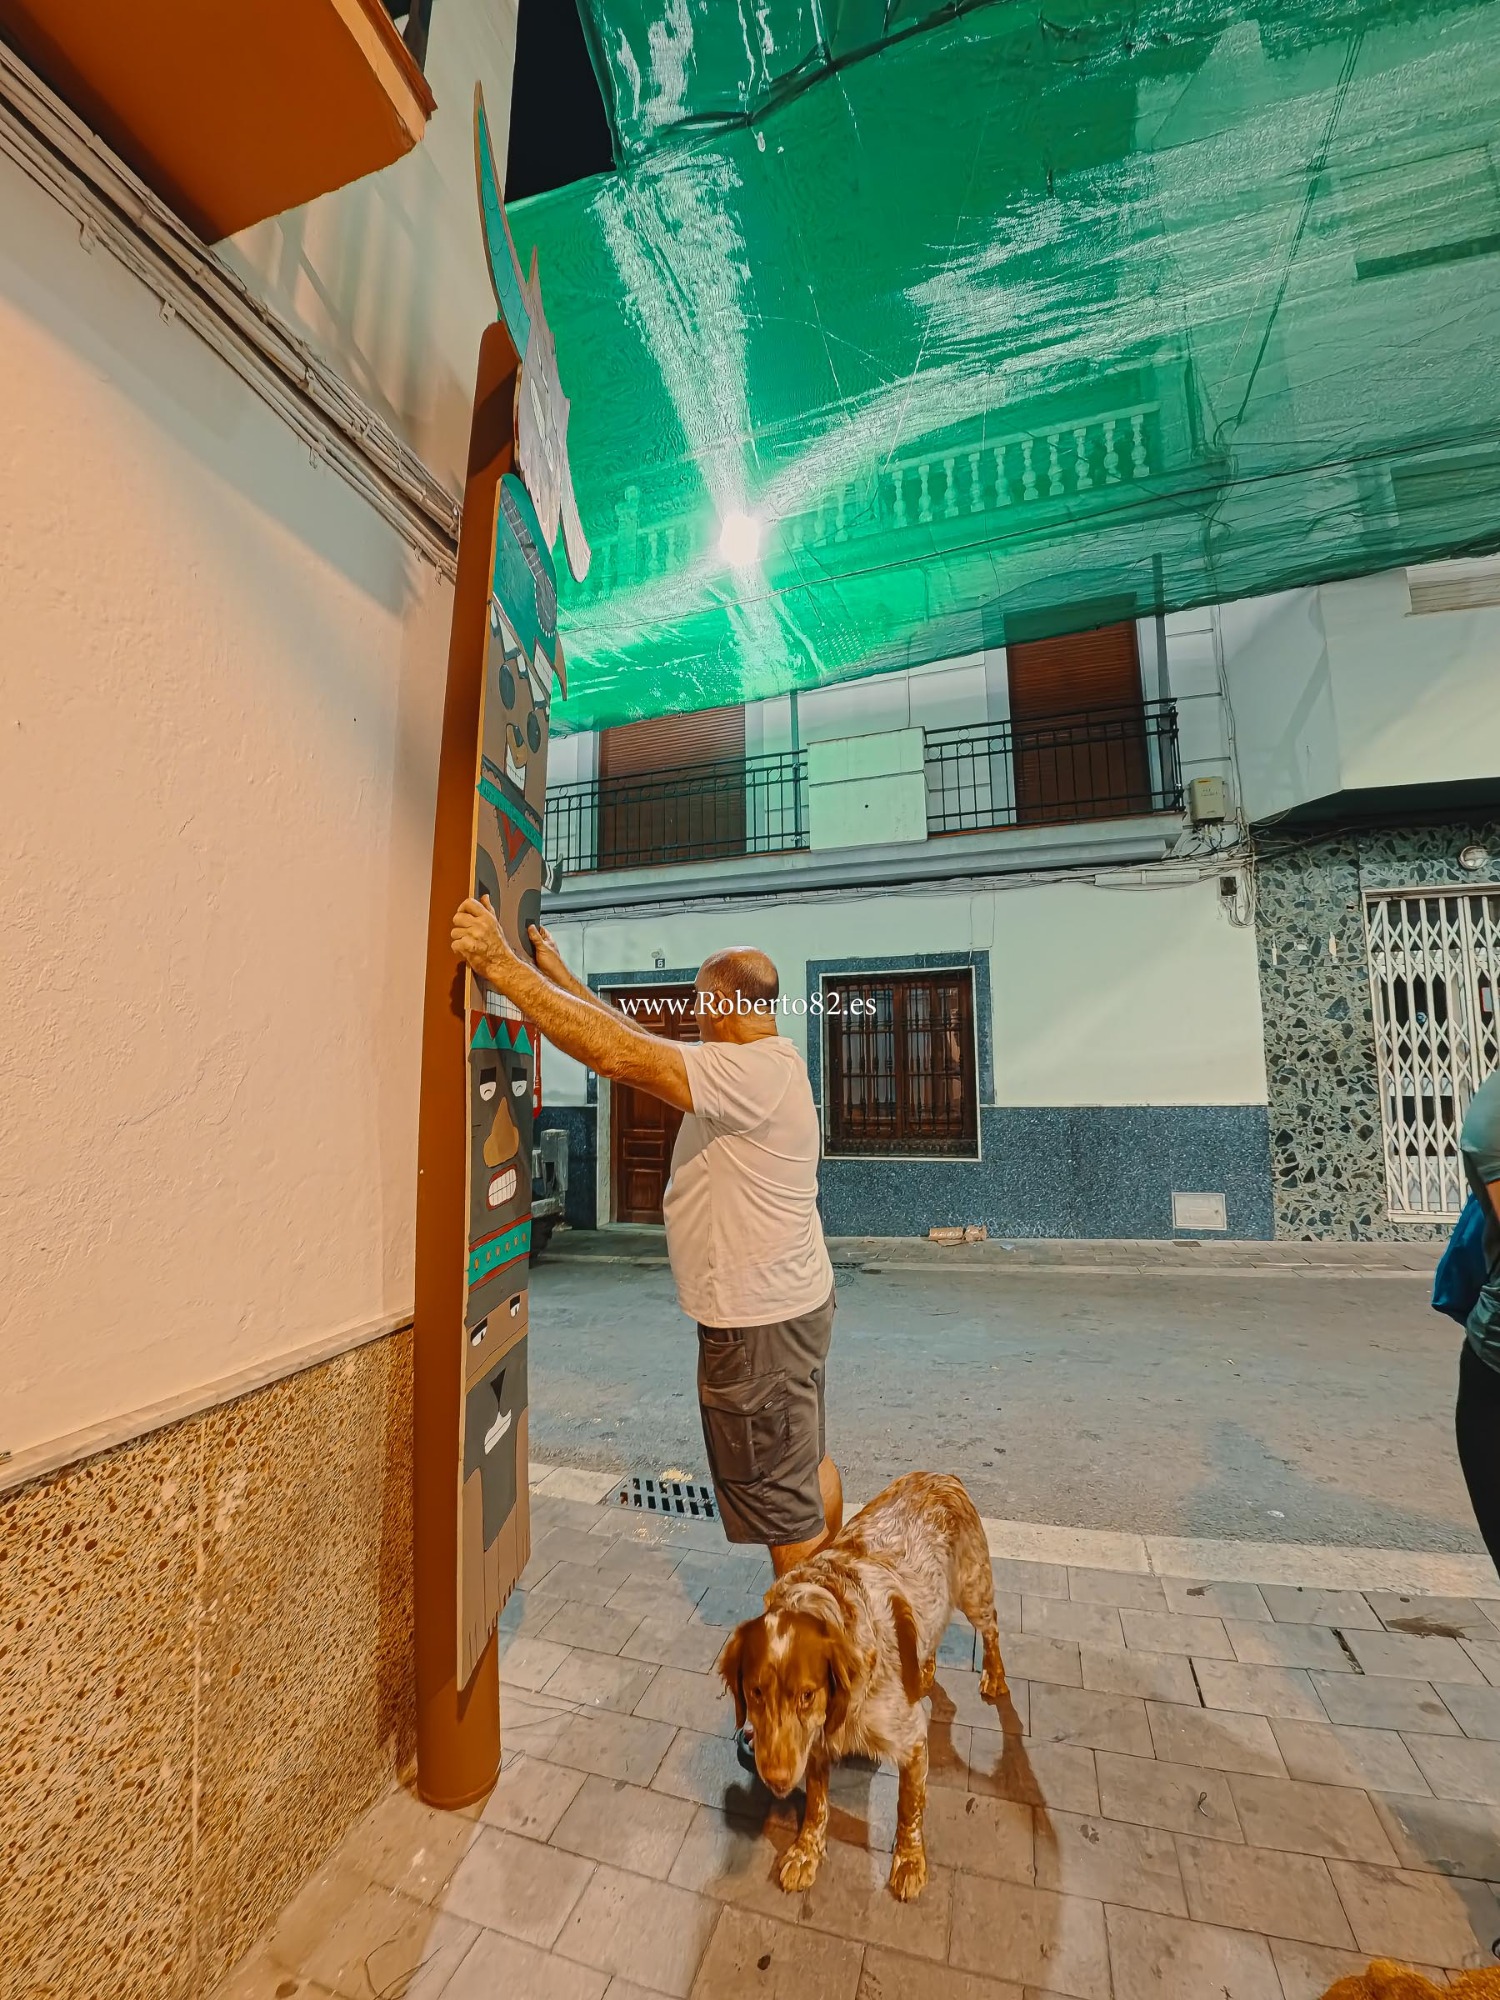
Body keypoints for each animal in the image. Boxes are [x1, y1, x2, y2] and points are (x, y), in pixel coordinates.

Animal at [717, 1471, 1007, 1902]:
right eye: (754, 1692)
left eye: (807, 1695)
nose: (777, 1779)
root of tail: (941, 1475)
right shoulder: (815, 1745)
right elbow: (817, 1805)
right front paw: (806, 1851)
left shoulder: (912, 1741)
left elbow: (908, 1808)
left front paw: (909, 1861)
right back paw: (922, 1672)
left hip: (975, 1590)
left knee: (991, 1630)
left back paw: (995, 1676)